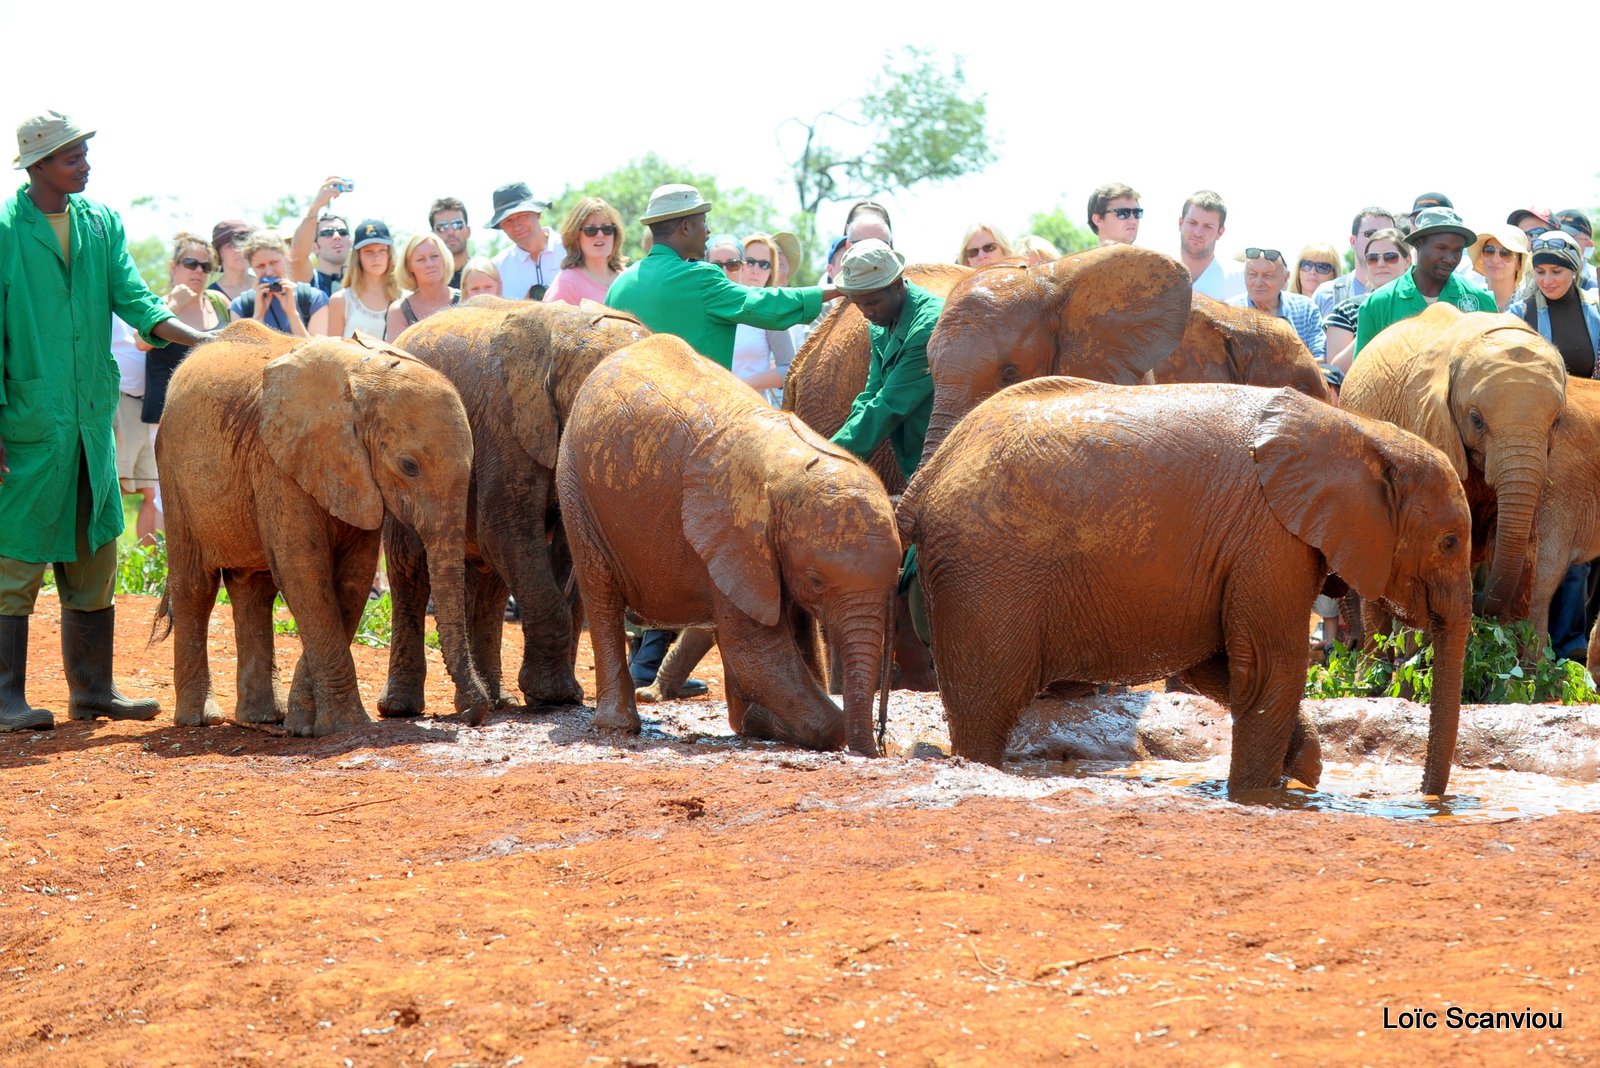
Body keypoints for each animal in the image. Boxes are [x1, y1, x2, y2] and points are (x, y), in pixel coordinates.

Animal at [160, 319, 492, 735]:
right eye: (408, 466)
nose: (472, 714)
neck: (363, 378)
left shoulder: (356, 476)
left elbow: (352, 579)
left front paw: (304, 724)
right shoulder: (278, 461)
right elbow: (305, 572)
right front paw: (347, 727)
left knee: (254, 590)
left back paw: (264, 718)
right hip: (174, 474)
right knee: (196, 588)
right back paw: (199, 720)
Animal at [376, 300, 649, 716]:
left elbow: (570, 552)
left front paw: (561, 695)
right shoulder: (506, 426)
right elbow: (506, 531)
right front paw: (551, 695)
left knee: (490, 584)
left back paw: (497, 700)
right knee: (410, 568)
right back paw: (401, 708)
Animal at [556, 337, 902, 754]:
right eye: (816, 581)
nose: (880, 745)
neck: (790, 472)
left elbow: (794, 637)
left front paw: (759, 723)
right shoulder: (731, 539)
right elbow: (757, 652)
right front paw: (784, 724)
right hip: (575, 488)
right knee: (601, 594)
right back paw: (617, 727)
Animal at [902, 378, 1472, 796]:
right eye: (1449, 543)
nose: (1426, 797)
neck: (1360, 431)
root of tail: (924, 480)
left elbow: (1220, 666)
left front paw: (1303, 769)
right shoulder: (1269, 538)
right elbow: (1270, 669)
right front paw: (1256, 795)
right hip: (986, 576)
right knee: (986, 707)